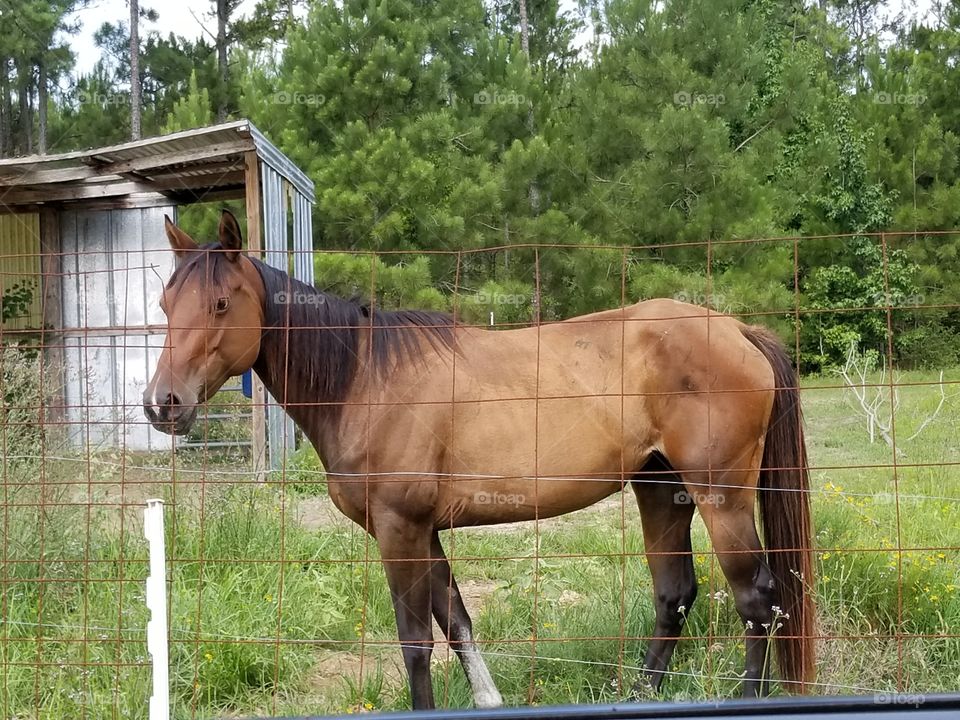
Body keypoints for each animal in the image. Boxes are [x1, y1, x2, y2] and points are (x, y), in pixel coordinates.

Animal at [143, 211, 815, 710]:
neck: (364, 379)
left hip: (720, 496)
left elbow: (417, 643)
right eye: (165, 303)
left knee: (757, 599)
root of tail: (737, 330)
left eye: (222, 303)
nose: (162, 404)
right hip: (661, 490)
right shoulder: (423, 531)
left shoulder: (400, 530)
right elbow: (458, 622)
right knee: (674, 595)